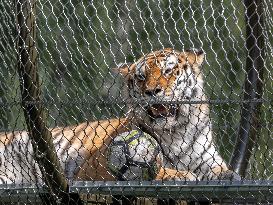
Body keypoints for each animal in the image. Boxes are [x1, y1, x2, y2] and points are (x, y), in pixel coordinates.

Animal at [0, 48, 238, 184]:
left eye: (168, 71)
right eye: (141, 77)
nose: (152, 91)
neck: (176, 131)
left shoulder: (206, 158)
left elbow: (219, 169)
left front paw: (228, 174)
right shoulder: (96, 170)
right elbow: (154, 170)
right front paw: (180, 175)